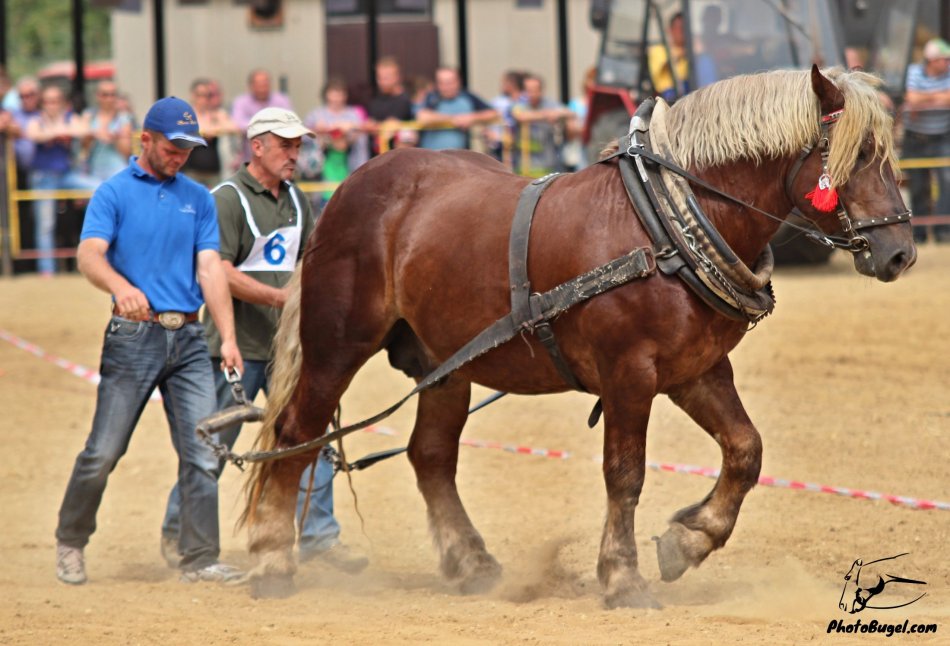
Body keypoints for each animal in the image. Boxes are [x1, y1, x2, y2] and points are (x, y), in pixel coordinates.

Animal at [240, 66, 915, 606]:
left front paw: (688, 540)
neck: (663, 226)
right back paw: (273, 559)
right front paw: (622, 578)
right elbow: (626, 474)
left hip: (444, 361)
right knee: (295, 437)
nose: (900, 252)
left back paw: (471, 562)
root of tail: (349, 189)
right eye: (857, 154)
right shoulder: (629, 375)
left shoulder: (695, 371)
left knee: (430, 457)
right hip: (337, 345)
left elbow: (746, 451)